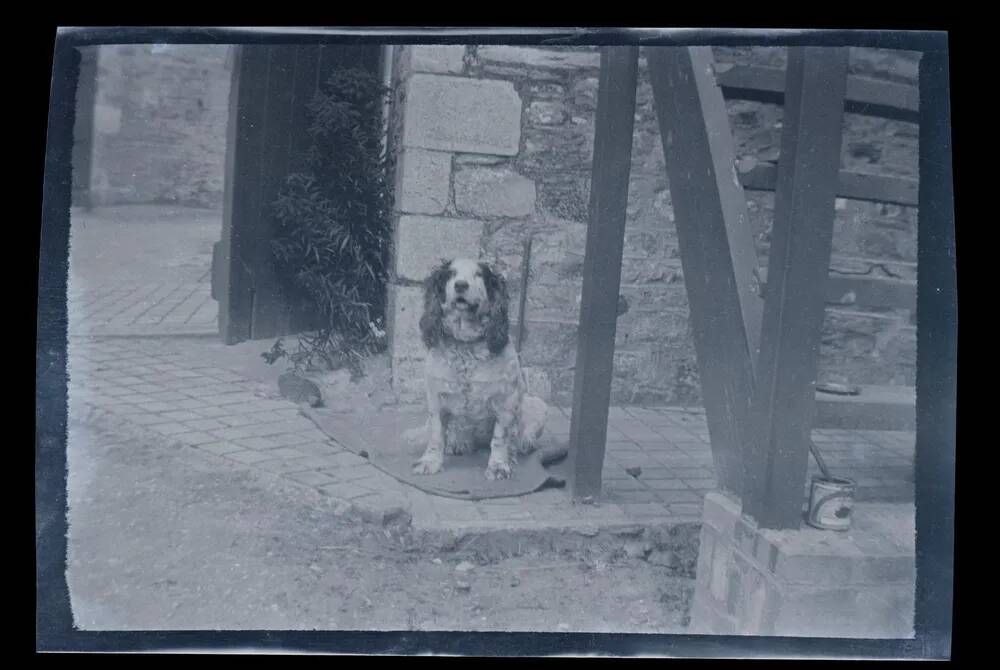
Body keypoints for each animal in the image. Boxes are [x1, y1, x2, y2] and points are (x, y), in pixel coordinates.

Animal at [404, 258, 548, 484]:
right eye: (451, 273)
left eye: (479, 274)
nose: (461, 285)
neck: (466, 345)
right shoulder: (435, 398)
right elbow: (436, 434)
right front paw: (430, 462)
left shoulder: (506, 400)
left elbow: (500, 438)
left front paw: (498, 466)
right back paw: (458, 443)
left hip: (538, 405)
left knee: (517, 439)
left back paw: (517, 450)